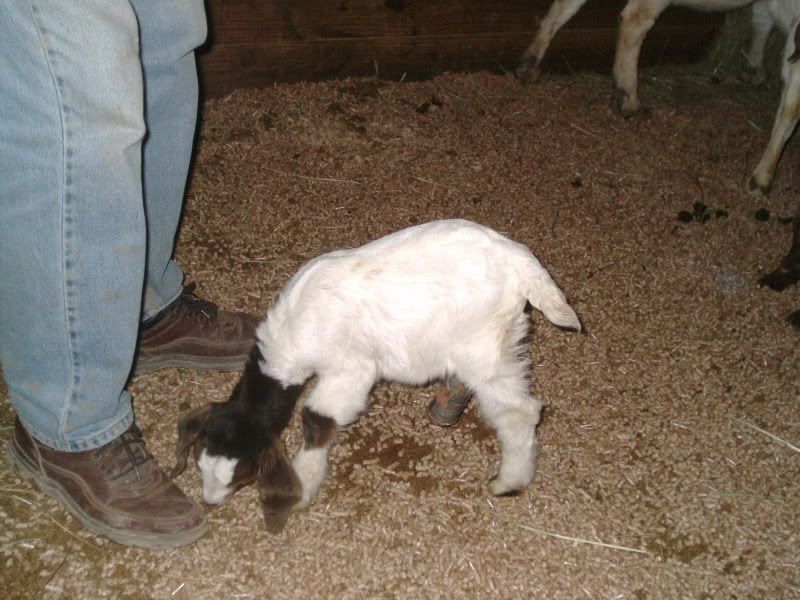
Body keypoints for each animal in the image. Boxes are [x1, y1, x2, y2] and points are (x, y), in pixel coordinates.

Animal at [170, 219, 581, 532]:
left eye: (242, 476)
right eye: (199, 463)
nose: (210, 502)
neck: (291, 339)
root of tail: (523, 263)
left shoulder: (351, 368)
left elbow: (317, 418)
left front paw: (302, 487)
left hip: (483, 346)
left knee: (518, 411)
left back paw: (508, 481)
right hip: (498, 341)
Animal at [517, 0, 800, 193]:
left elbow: (761, 19)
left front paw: (754, 70)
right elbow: (791, 108)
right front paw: (763, 178)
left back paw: (530, 64)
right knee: (635, 19)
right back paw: (628, 98)